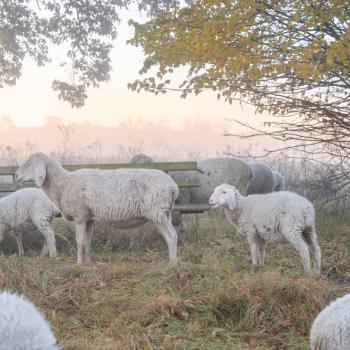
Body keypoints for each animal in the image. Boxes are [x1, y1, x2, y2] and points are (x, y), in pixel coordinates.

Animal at [14, 152, 178, 264]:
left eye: (31, 163)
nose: (15, 175)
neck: (63, 184)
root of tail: (173, 186)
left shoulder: (80, 216)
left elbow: (79, 241)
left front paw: (78, 264)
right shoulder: (89, 218)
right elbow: (87, 242)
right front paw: (88, 262)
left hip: (157, 212)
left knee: (171, 236)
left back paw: (172, 263)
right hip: (166, 212)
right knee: (172, 235)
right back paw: (174, 260)